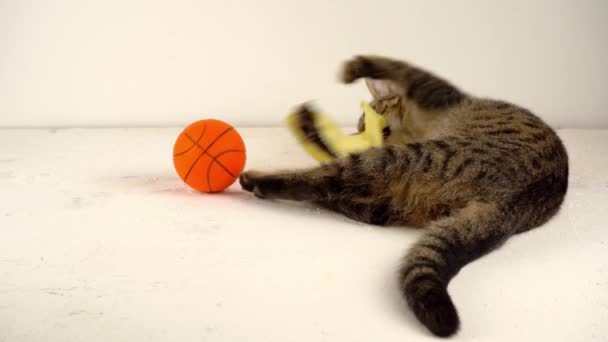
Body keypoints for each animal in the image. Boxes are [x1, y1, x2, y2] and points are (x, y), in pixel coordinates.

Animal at [239, 55, 568, 336]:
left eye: (368, 116)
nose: (364, 130)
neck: (413, 124)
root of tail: (514, 200)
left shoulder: (432, 89)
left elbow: (397, 65)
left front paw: (355, 67)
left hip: (403, 161)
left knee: (330, 179)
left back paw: (269, 172)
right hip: (392, 202)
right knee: (338, 190)